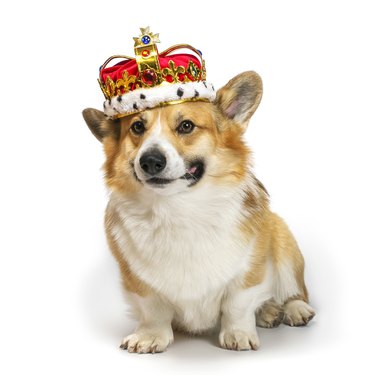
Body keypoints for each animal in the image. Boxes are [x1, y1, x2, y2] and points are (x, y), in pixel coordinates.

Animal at [83, 71, 316, 356]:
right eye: (137, 127)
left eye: (186, 126)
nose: (150, 161)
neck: (177, 207)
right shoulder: (137, 279)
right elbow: (153, 310)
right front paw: (150, 336)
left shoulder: (248, 270)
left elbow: (237, 304)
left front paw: (238, 333)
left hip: (284, 242)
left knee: (293, 290)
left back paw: (292, 309)